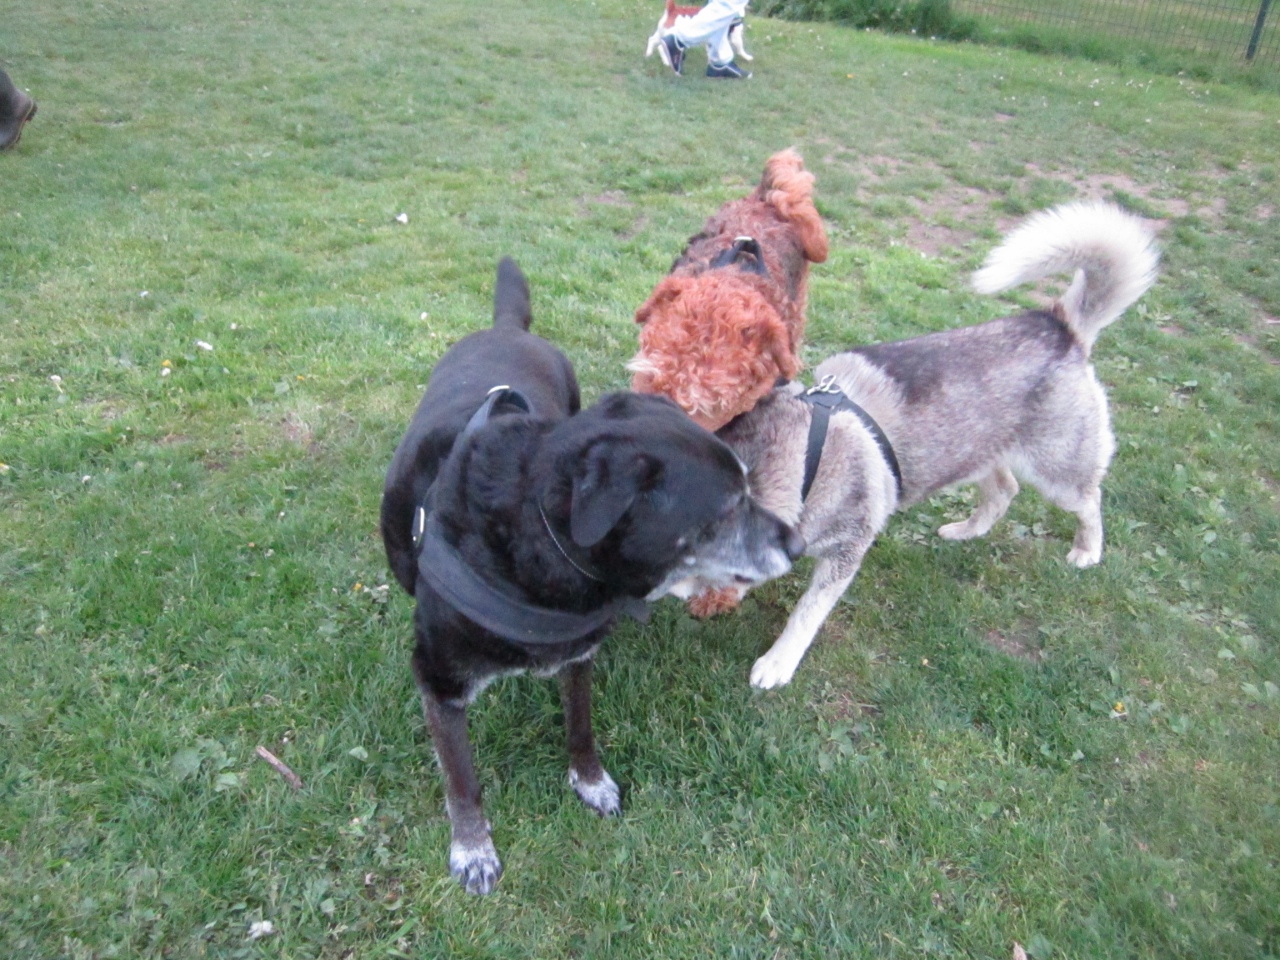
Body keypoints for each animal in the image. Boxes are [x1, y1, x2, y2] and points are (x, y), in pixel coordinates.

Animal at [381, 257, 802, 893]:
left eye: (749, 489)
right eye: (728, 508)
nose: (798, 544)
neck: (534, 546)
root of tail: (506, 328)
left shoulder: (578, 655)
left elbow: (580, 726)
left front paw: (590, 781)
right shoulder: (440, 682)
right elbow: (461, 779)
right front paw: (472, 847)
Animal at [667, 201, 1160, 689]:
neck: (808, 459)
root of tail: (1058, 324)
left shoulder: (846, 552)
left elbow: (806, 613)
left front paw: (778, 662)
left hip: (1058, 470)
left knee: (1089, 500)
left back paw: (1087, 551)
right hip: (974, 450)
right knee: (1004, 489)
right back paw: (966, 530)